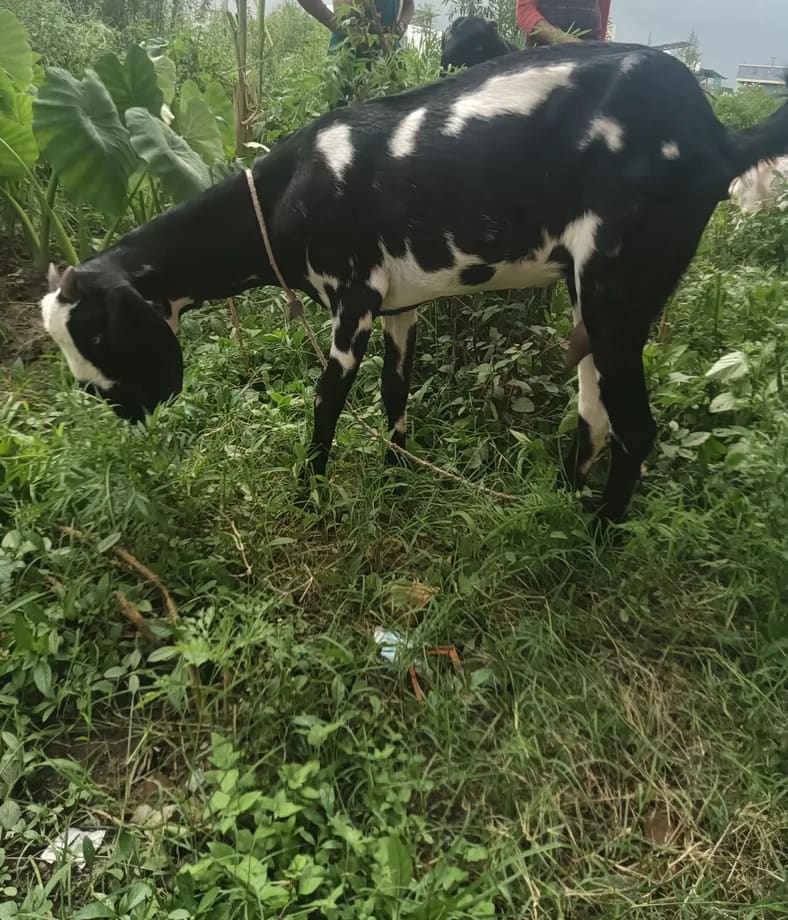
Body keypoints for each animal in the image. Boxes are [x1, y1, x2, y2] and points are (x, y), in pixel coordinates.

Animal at [41, 42, 788, 526]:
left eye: (98, 334)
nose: (117, 409)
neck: (291, 189)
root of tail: (718, 136)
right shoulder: (401, 306)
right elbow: (395, 396)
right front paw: (396, 478)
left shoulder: (352, 302)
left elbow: (327, 406)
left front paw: (307, 498)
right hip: (593, 302)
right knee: (595, 412)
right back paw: (557, 502)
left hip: (617, 290)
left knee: (637, 428)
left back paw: (599, 539)